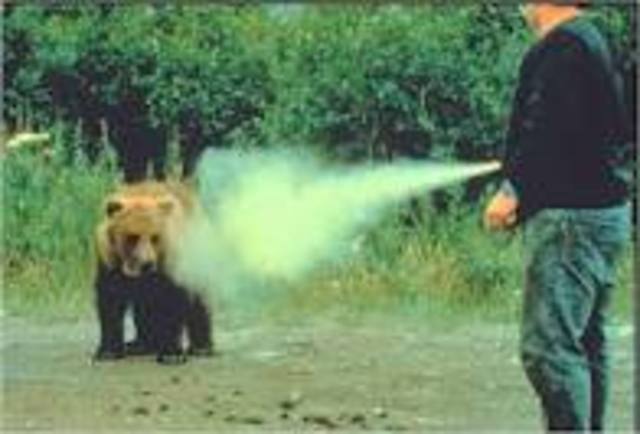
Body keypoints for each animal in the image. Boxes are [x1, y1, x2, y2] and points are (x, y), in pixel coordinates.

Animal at [93, 181, 213, 364]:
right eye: (132, 237)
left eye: (155, 237)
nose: (147, 264)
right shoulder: (109, 262)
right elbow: (110, 302)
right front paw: (108, 352)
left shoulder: (172, 265)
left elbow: (173, 301)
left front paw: (172, 353)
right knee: (143, 309)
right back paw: (139, 345)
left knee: (200, 301)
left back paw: (202, 347)